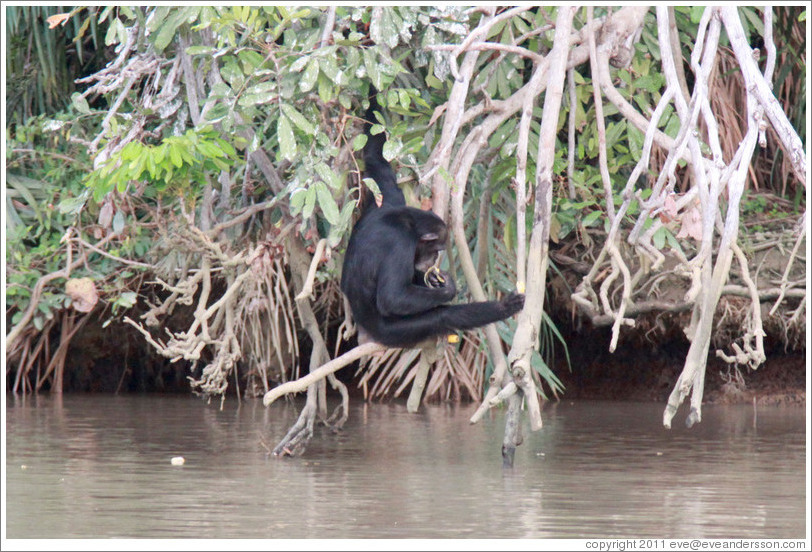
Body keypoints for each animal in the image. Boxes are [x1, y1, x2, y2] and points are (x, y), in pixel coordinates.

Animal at [338, 92, 524, 348]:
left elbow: (377, 156)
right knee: (441, 316)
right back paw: (501, 308)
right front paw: (448, 288)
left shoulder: (388, 197)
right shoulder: (400, 242)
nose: (432, 258)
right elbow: (393, 297)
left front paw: (373, 95)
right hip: (391, 332)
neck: (407, 219)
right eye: (435, 248)